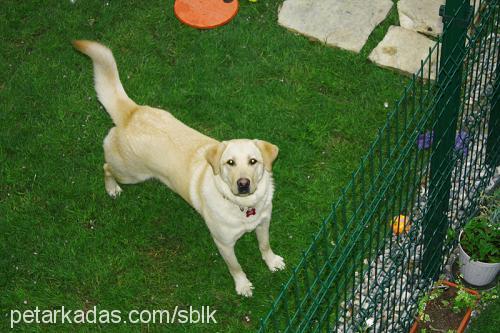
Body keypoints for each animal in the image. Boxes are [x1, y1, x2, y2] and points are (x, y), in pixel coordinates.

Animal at [73, 40, 286, 296]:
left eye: (253, 161)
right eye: (230, 163)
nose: (243, 184)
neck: (243, 207)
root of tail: (132, 112)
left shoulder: (263, 223)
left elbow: (265, 245)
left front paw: (272, 262)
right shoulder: (224, 244)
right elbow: (235, 267)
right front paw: (242, 285)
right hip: (130, 173)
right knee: (106, 167)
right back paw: (112, 189)